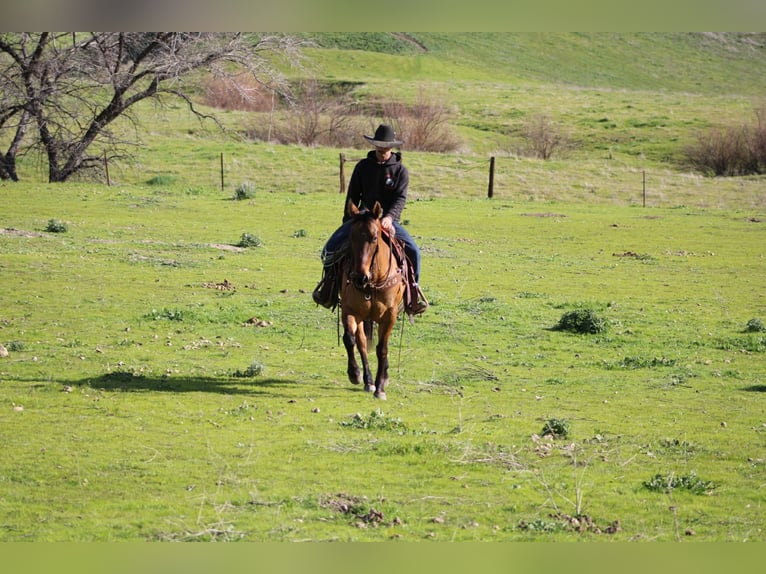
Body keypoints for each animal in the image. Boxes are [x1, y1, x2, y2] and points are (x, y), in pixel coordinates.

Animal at [340, 200, 406, 400]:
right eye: (351, 237)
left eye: (374, 237)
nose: (360, 277)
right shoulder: (349, 310)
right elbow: (350, 339)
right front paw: (355, 374)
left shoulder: (390, 316)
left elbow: (382, 348)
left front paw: (380, 387)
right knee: (361, 341)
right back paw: (368, 380)